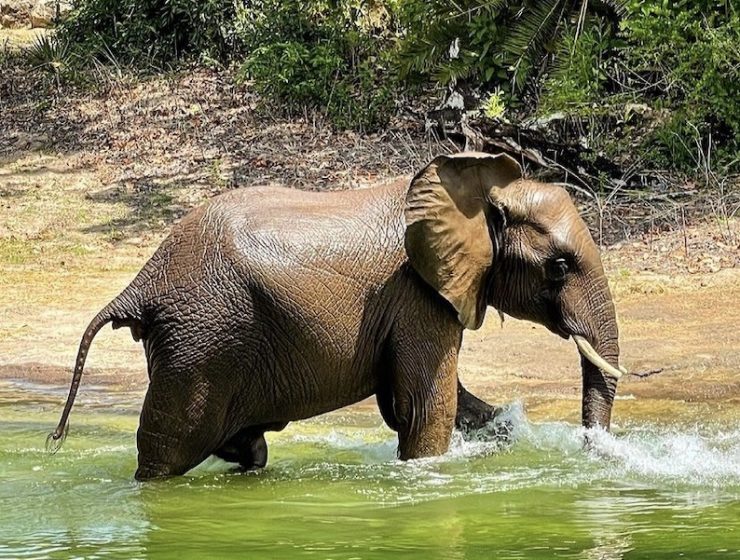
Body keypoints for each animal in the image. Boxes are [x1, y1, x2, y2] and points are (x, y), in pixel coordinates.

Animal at [47, 151, 626, 480]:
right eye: (559, 267)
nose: (594, 452)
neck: (479, 191)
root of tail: (142, 281)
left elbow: (427, 402)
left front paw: (503, 428)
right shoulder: (417, 294)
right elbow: (423, 408)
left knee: (247, 446)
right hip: (200, 343)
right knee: (167, 448)